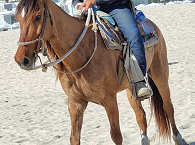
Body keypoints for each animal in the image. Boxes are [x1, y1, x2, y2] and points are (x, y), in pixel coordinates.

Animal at [13, 0, 187, 145]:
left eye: (38, 16)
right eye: (18, 18)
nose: (21, 59)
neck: (83, 51)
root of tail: (151, 24)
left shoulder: (109, 101)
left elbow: (116, 136)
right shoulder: (75, 103)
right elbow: (74, 138)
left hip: (160, 74)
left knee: (168, 106)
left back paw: (179, 138)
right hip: (131, 88)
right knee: (140, 115)